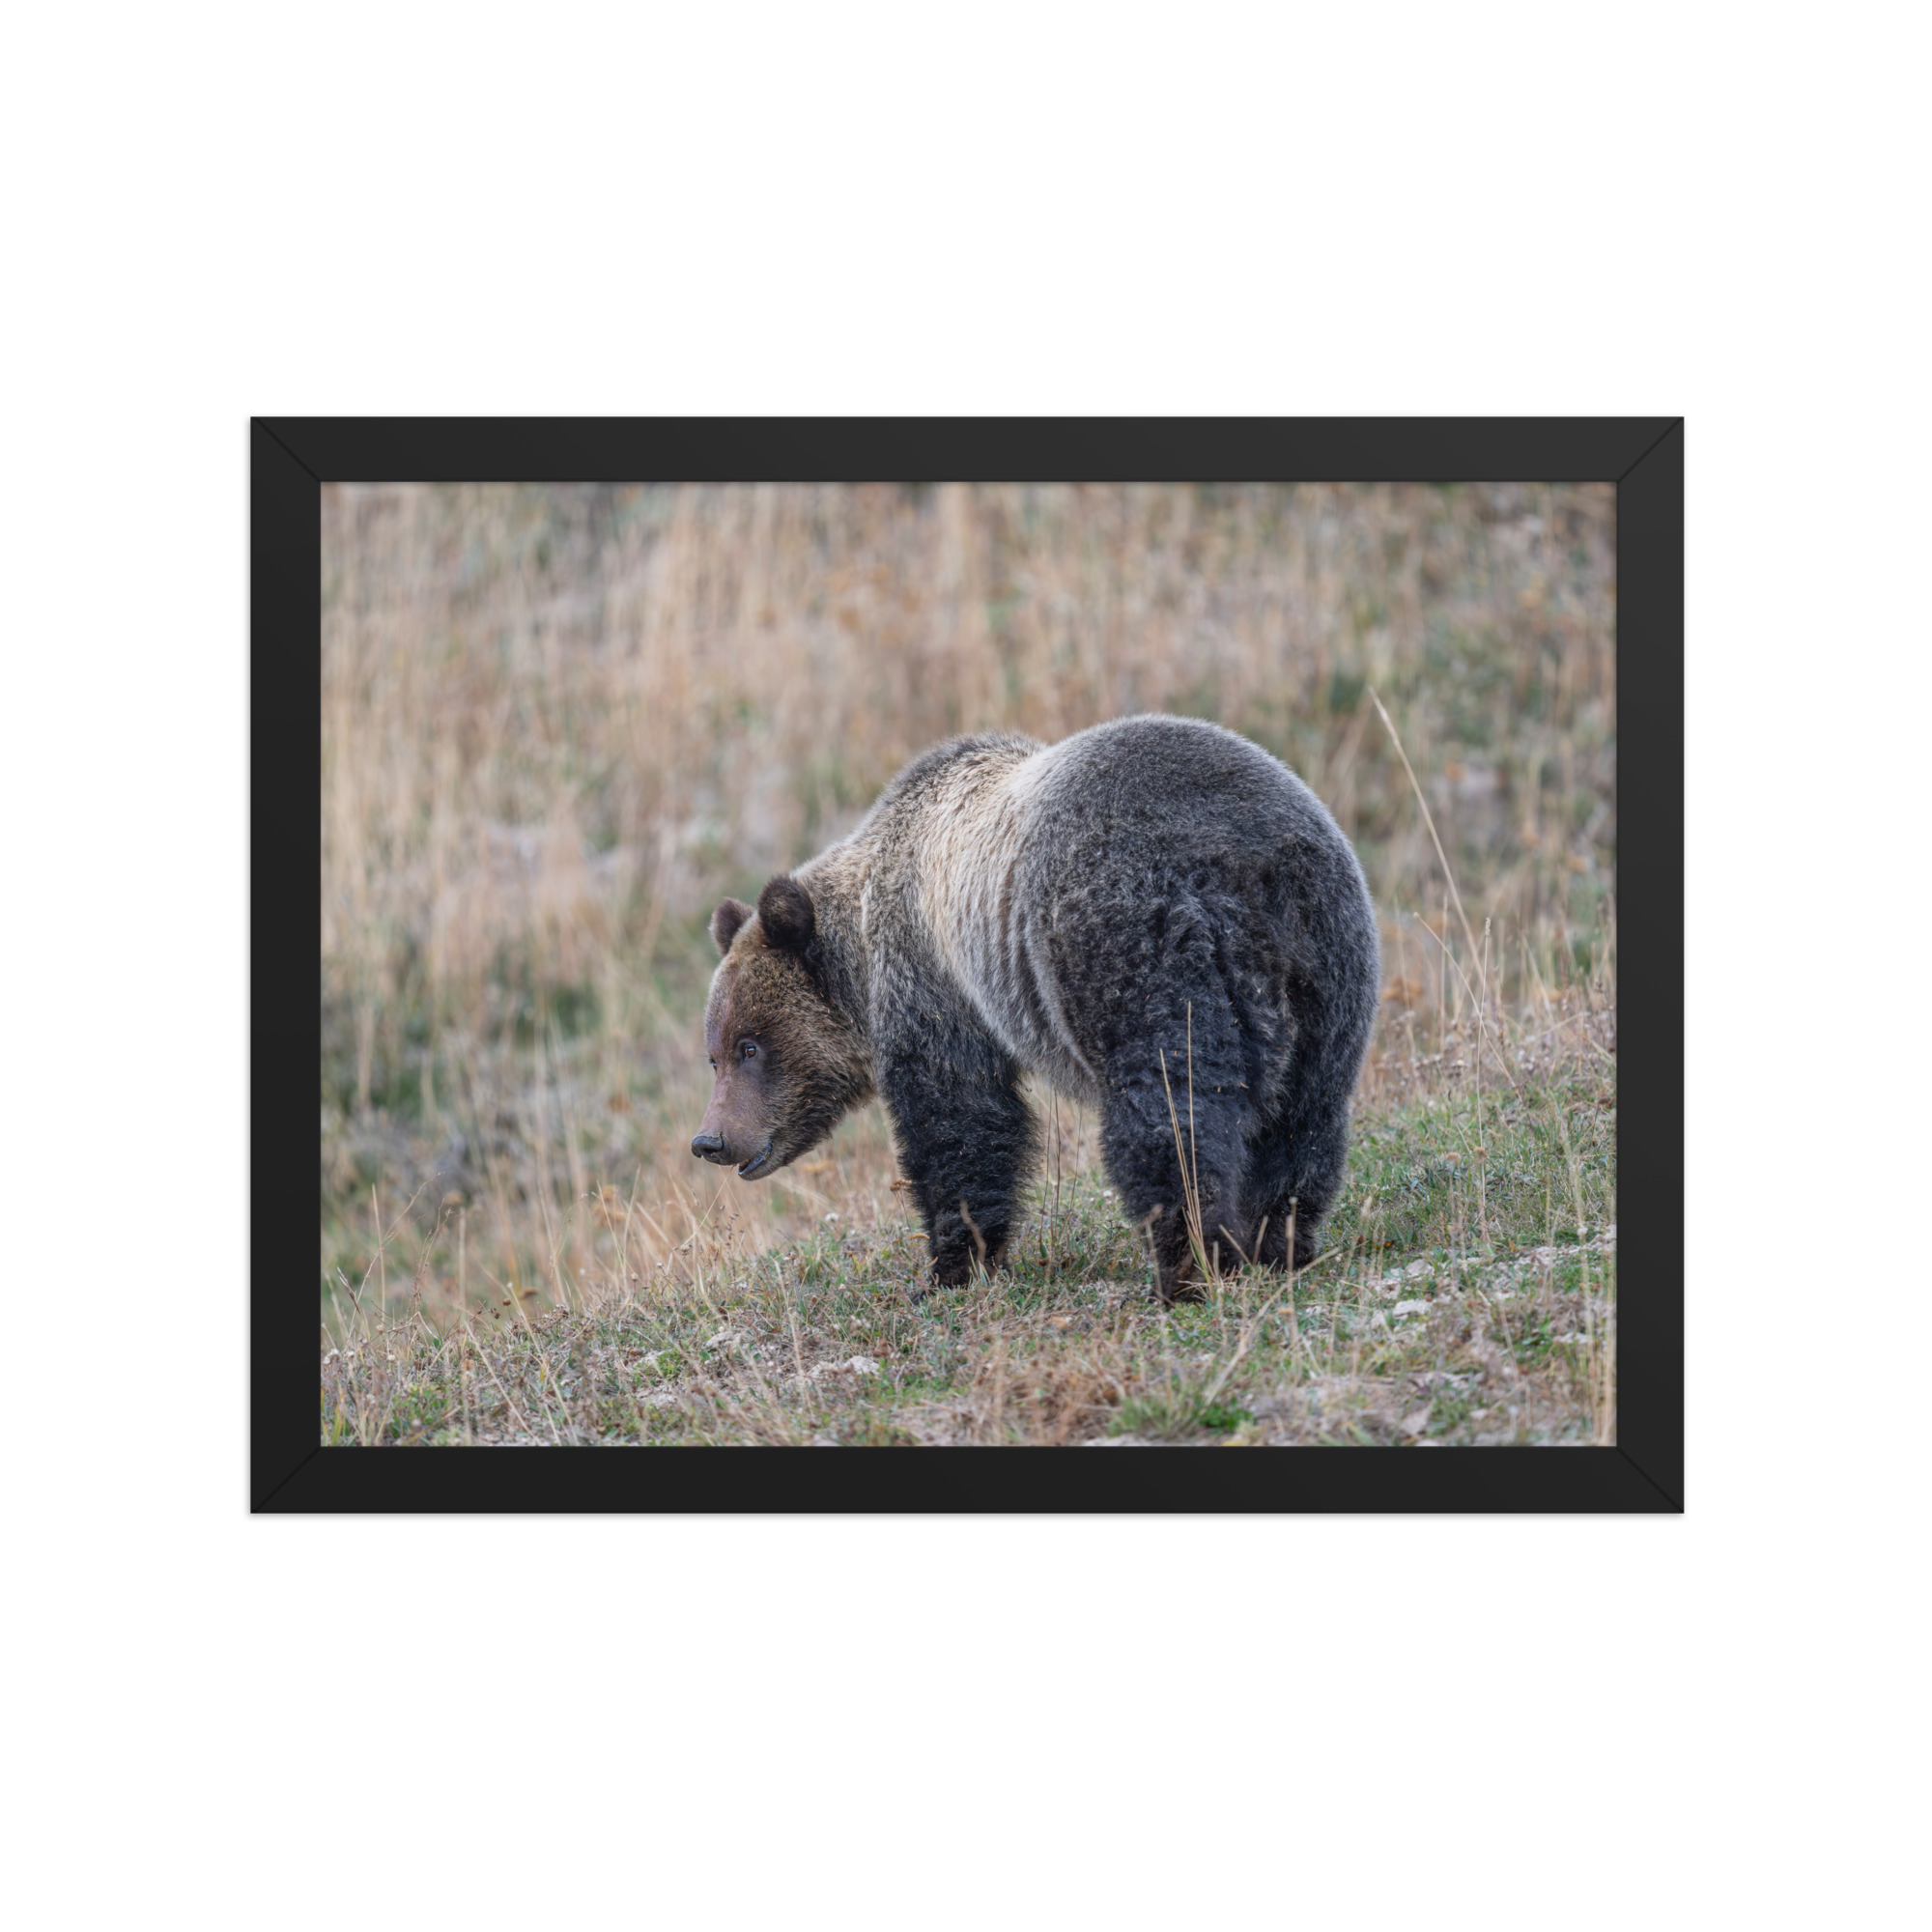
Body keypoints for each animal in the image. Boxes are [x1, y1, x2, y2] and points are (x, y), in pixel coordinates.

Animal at [690, 713, 1379, 1303]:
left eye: (750, 1046)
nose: (710, 1140)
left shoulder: (935, 983)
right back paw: (1278, 1242)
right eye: (714, 1054)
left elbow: (960, 1122)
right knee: (1304, 1116)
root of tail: (1244, 865)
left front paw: (950, 1267)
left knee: (1170, 1112)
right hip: (1328, 962)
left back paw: (1188, 1266)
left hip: (1132, 942)